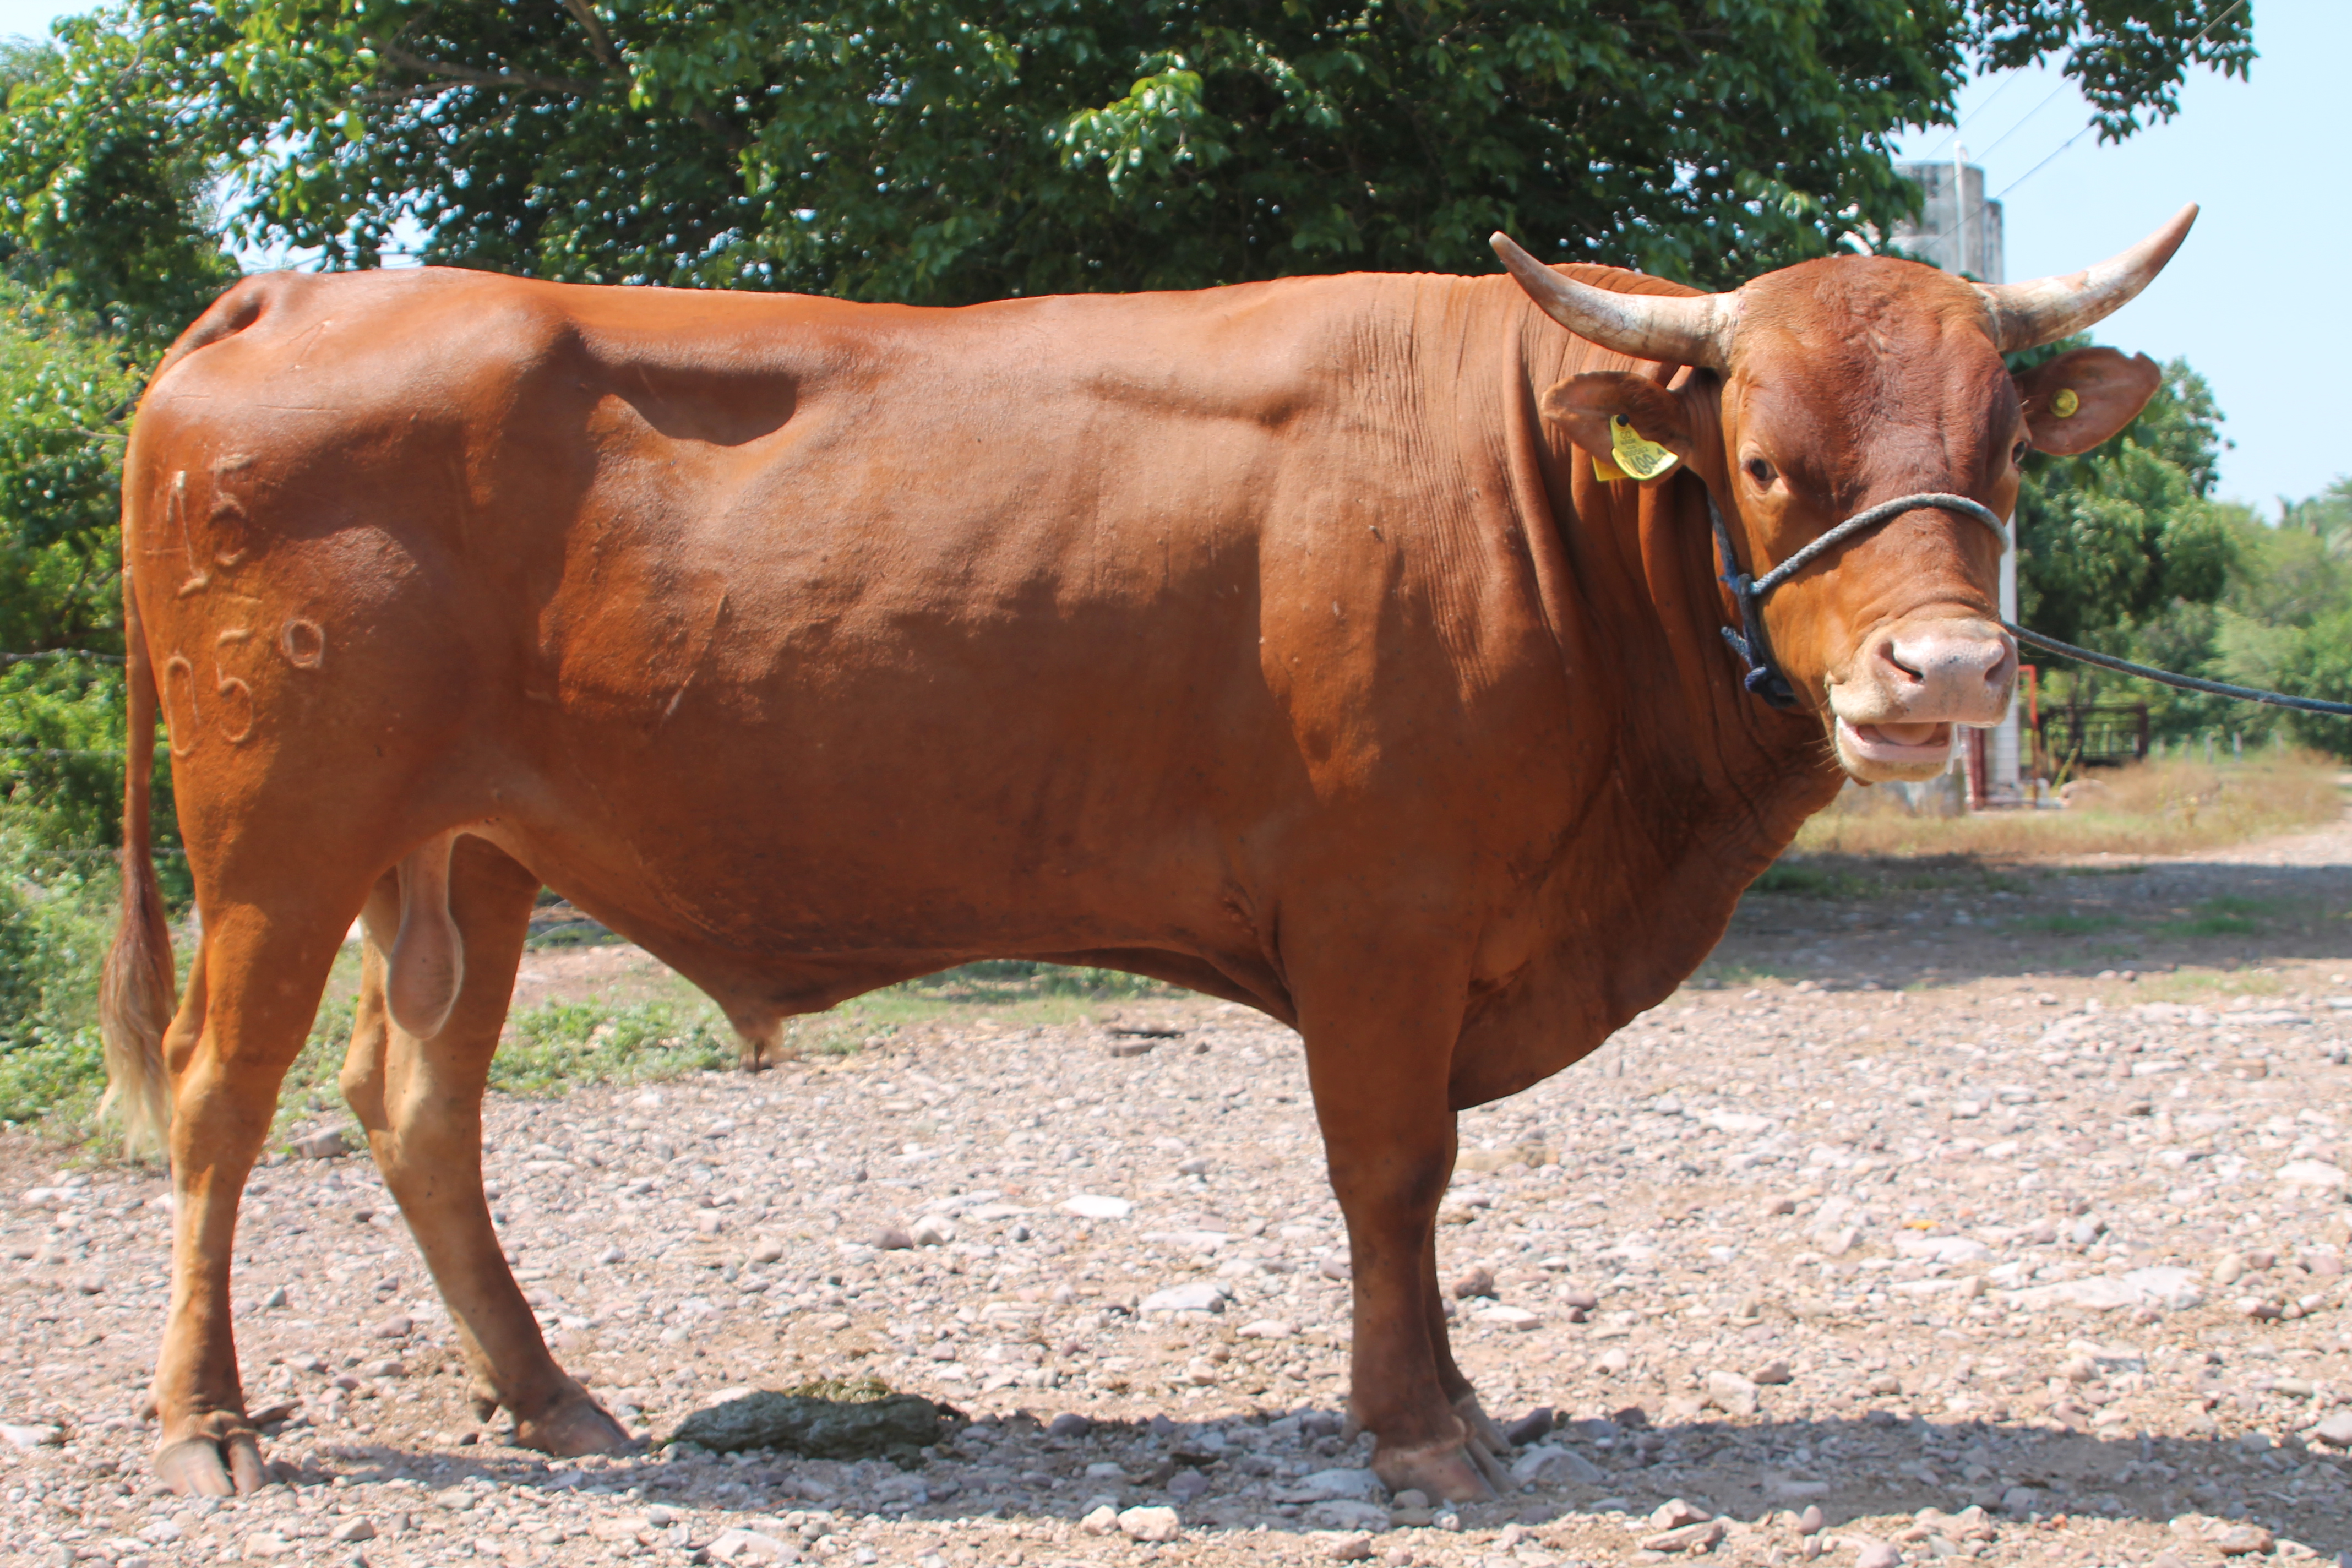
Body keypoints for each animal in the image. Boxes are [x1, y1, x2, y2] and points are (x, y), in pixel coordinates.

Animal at [91, 205, 2182, 1495]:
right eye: (1760, 458)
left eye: (2002, 449)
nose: (1950, 669)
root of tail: (307, 290)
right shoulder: (1380, 910)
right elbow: (1392, 1172)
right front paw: (1420, 1426)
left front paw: (1451, 1399)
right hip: (280, 827)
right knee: (220, 1095)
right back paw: (206, 1419)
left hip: (466, 849)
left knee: (415, 1101)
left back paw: (547, 1397)